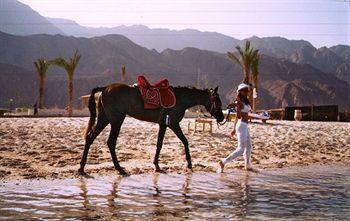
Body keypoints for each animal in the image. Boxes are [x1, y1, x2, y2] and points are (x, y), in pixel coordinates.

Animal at [78, 83, 224, 176]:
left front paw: (156, 165)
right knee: (110, 142)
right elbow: (184, 141)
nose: (222, 117)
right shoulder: (173, 124)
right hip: (116, 121)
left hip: (105, 119)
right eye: (217, 101)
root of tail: (105, 89)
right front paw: (189, 163)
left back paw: (82, 167)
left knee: (90, 137)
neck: (180, 98)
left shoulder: (163, 125)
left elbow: (159, 144)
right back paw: (119, 169)